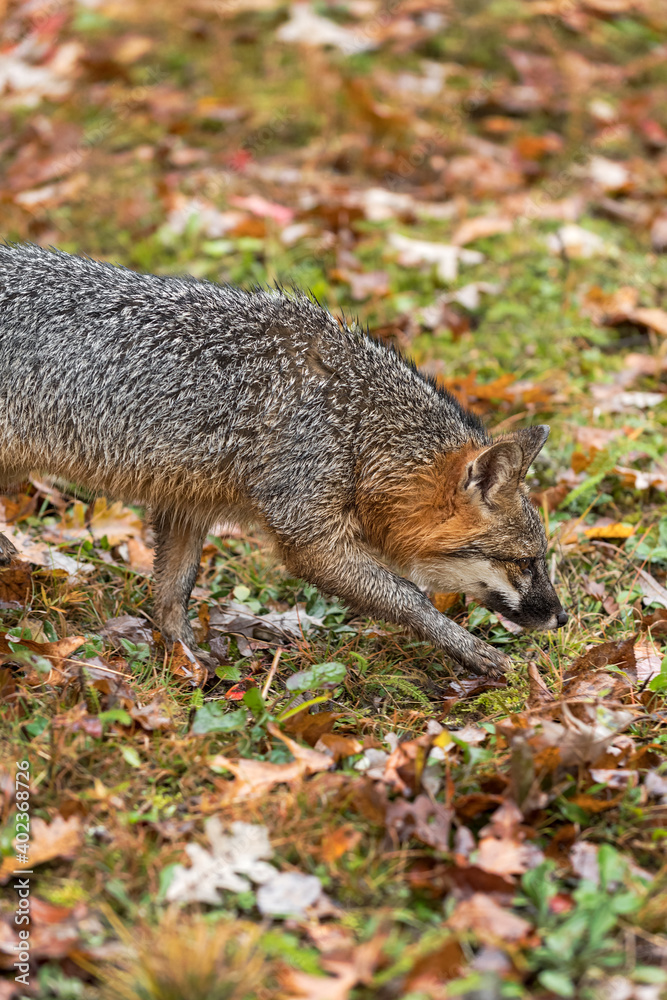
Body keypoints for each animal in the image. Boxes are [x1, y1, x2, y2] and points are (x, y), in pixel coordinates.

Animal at [0, 245, 568, 676]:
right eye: (525, 563)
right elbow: (410, 597)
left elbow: (173, 592)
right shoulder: (308, 536)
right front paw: (472, 650)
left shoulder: (188, 503)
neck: (356, 425)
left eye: (539, 560)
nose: (562, 618)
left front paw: (185, 660)